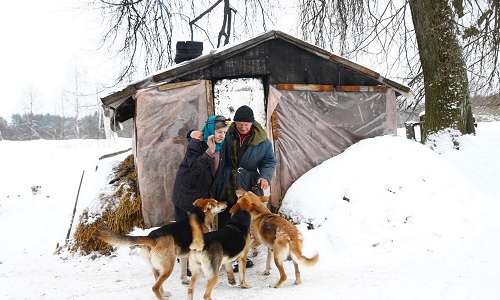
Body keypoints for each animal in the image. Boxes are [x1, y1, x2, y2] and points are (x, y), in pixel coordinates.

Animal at [93, 198, 227, 298]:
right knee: (155, 287)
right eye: (216, 202)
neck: (200, 216)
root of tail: (152, 238)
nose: (226, 202)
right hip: (168, 266)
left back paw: (165, 293)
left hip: (156, 268)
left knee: (158, 285)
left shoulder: (184, 256)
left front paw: (184, 280)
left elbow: (183, 271)